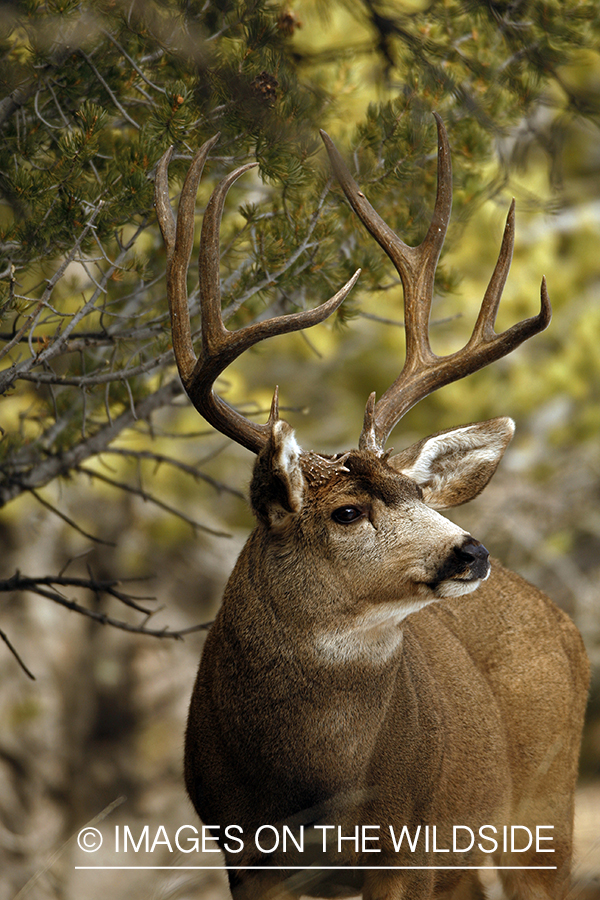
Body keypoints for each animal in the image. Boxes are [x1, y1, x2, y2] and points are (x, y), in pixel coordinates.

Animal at [154, 116, 589, 900]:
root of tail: (563, 620)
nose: (470, 551)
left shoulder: (407, 849)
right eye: (347, 513)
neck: (314, 790)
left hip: (543, 817)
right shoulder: (243, 854)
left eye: (418, 492)